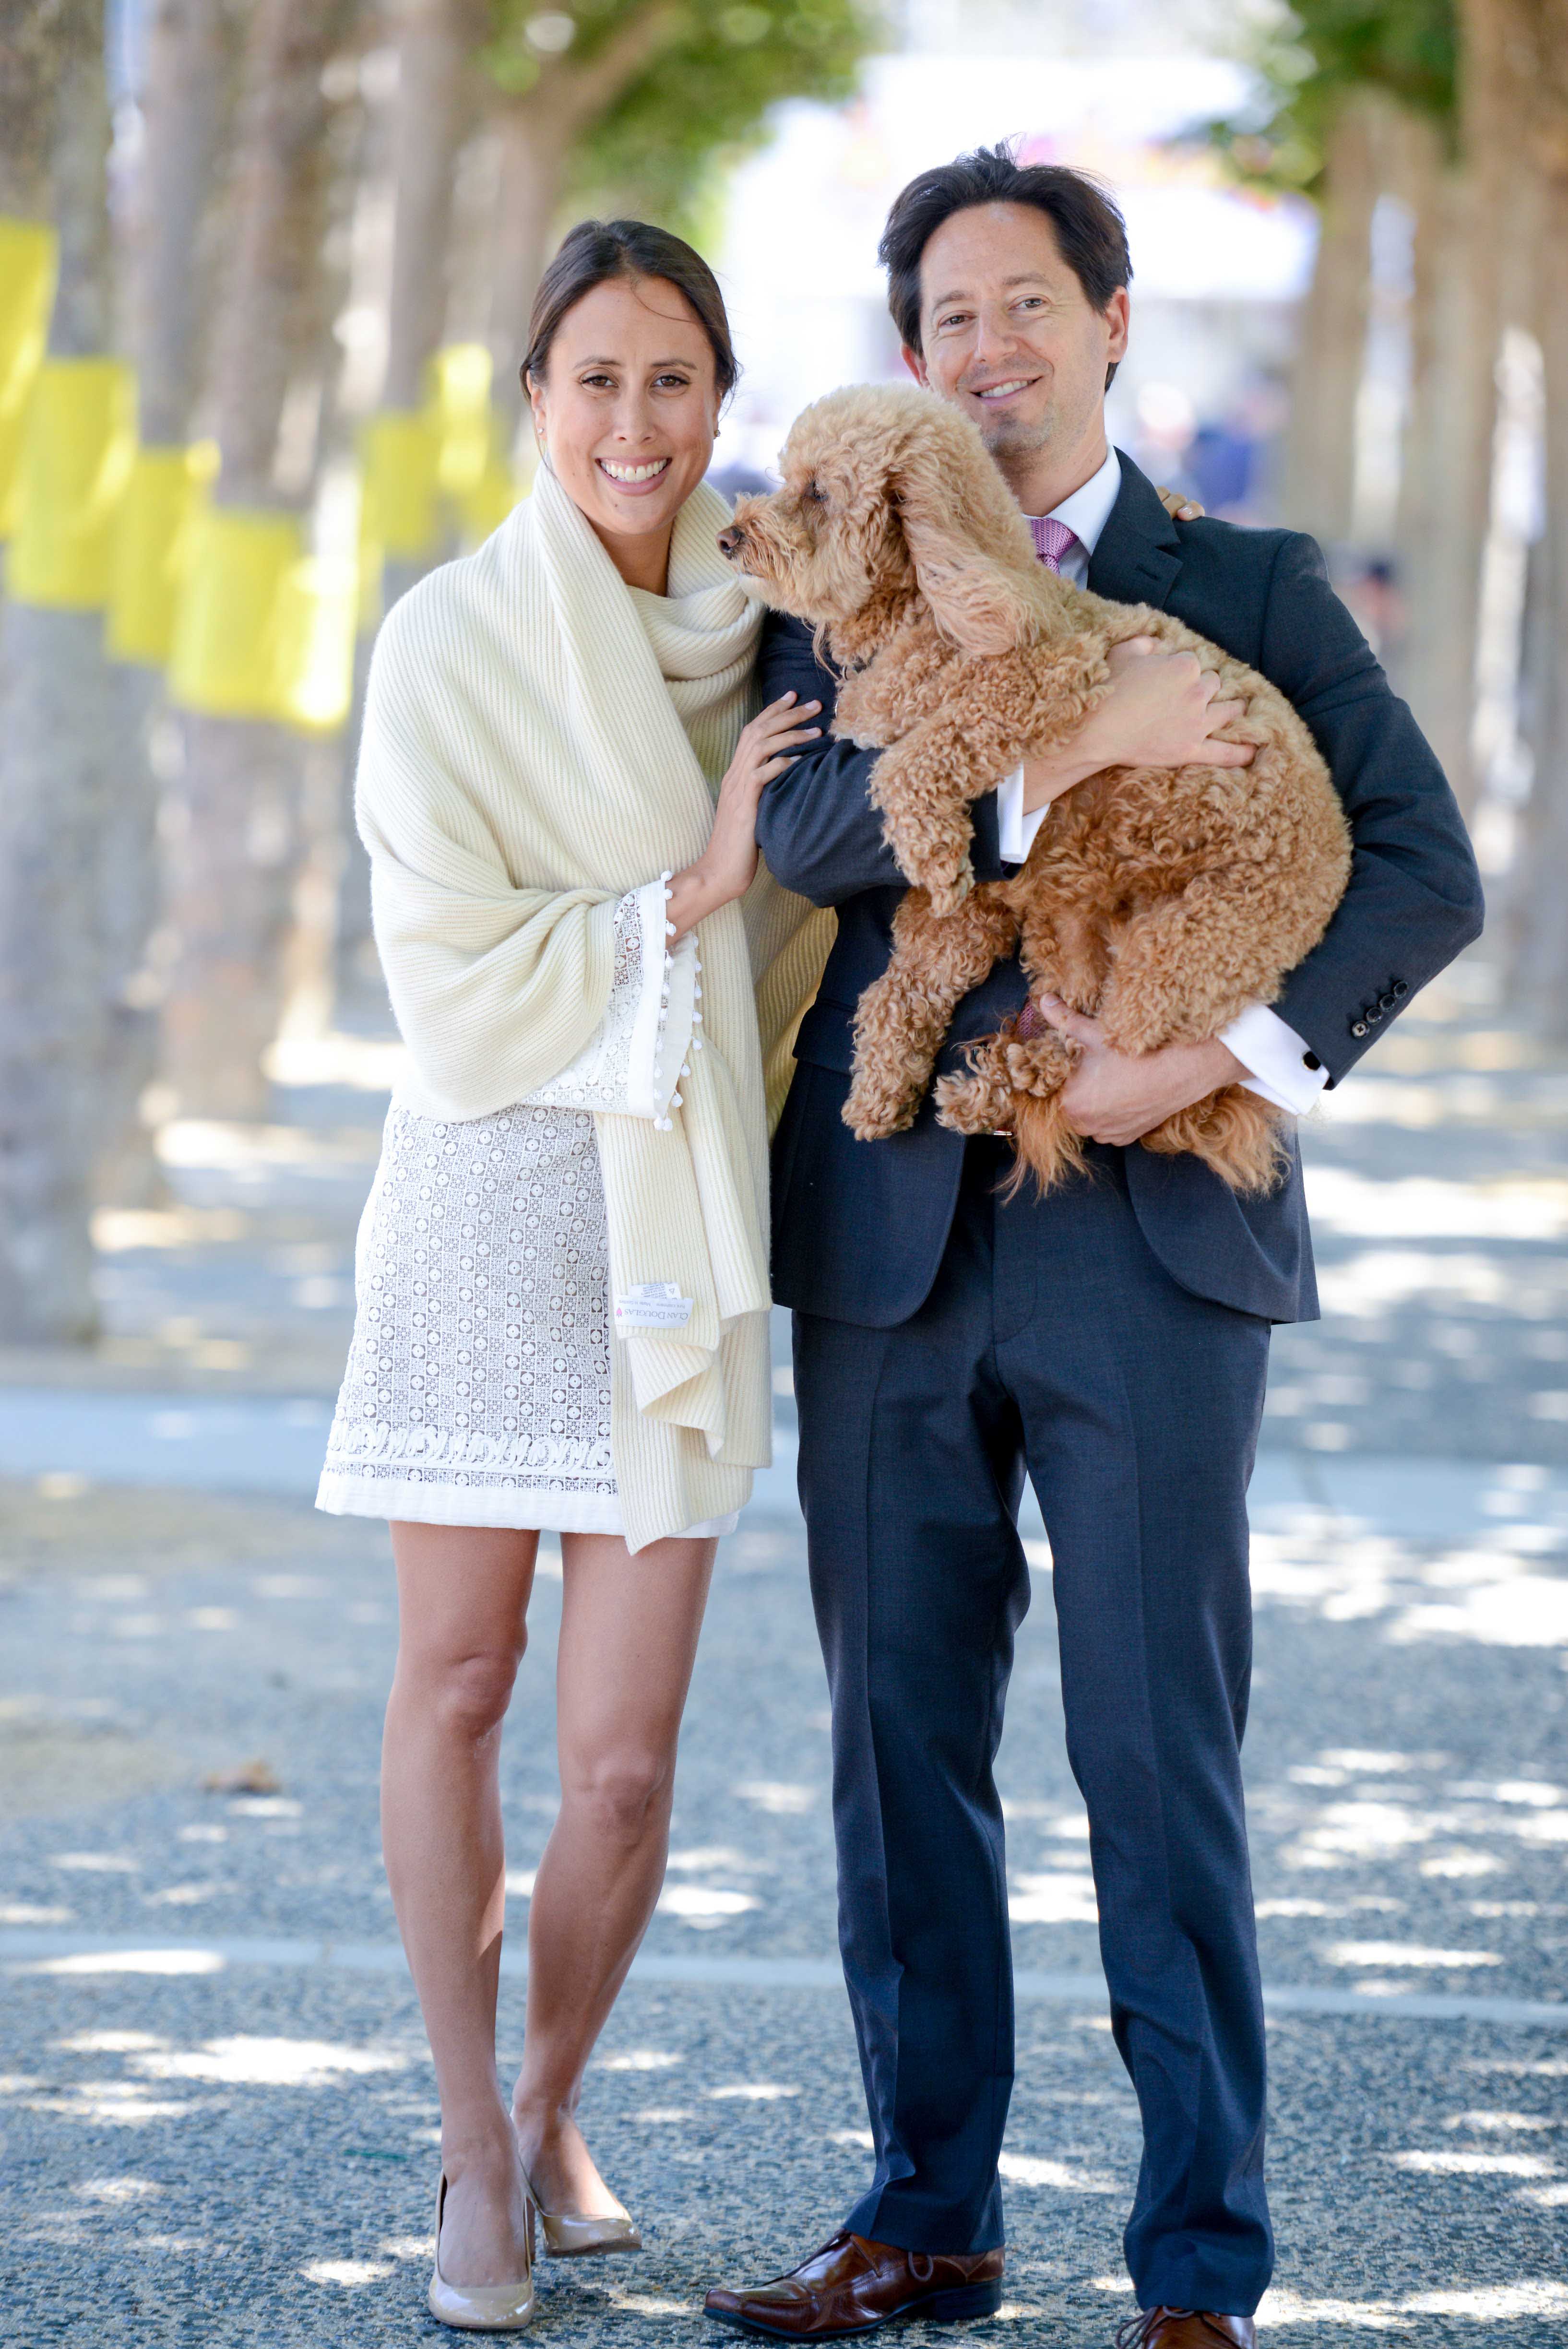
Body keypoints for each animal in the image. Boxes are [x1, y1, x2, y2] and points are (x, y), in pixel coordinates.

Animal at [719, 390, 1354, 1193]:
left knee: (1126, 1062)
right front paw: (882, 1086)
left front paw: (931, 850)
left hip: (1191, 948)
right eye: (786, 478)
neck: (935, 608)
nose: (728, 539)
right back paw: (999, 1086)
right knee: (1067, 1021)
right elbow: (904, 984)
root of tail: (1340, 853)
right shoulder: (978, 908)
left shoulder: (1045, 681)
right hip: (1070, 934)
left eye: (818, 493)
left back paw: (1020, 1081)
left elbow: (911, 761)